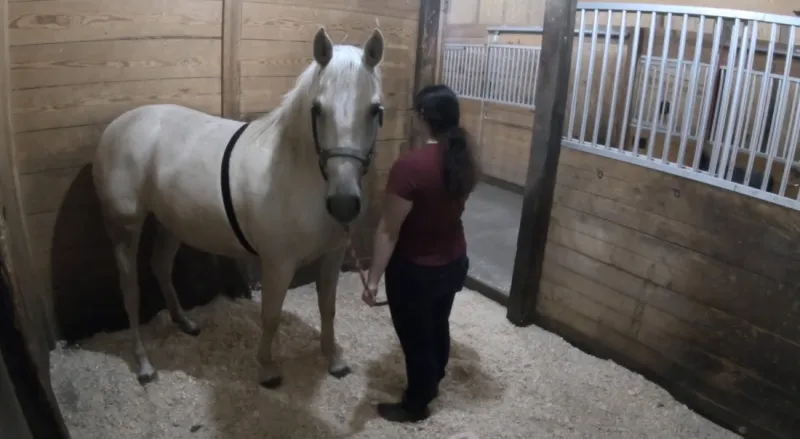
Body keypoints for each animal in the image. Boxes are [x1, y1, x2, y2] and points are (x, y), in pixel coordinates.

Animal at [91, 27, 386, 388]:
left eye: (375, 110)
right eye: (317, 109)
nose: (343, 204)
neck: (297, 171)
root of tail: (116, 127)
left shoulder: (332, 256)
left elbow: (327, 309)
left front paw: (334, 359)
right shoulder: (278, 264)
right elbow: (270, 315)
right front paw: (268, 368)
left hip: (170, 223)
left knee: (160, 266)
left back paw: (185, 323)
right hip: (124, 229)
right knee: (130, 290)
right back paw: (144, 364)